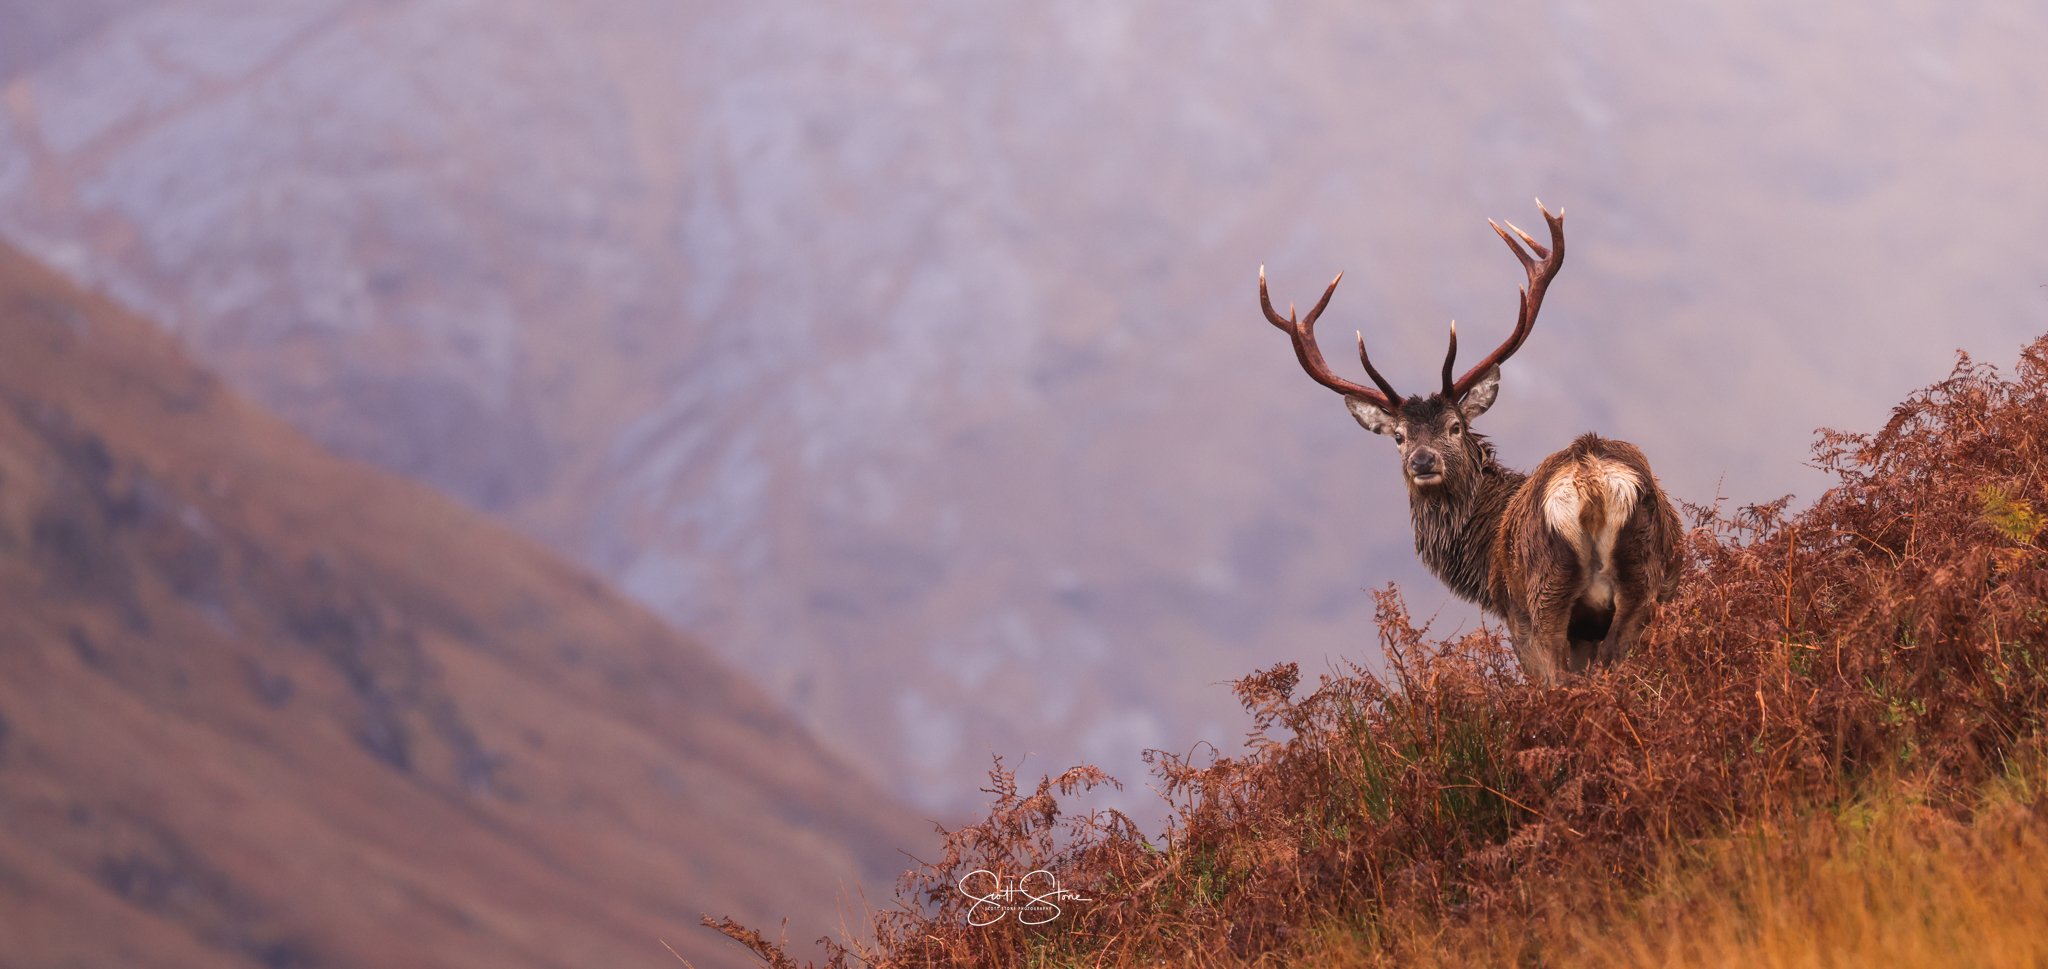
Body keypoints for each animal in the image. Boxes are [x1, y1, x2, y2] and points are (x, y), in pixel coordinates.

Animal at [1258, 202, 1681, 685]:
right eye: (1399, 437)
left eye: (1455, 426)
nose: (1423, 461)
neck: (1480, 556)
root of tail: (1590, 481)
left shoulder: (1514, 615)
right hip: (1647, 577)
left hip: (1544, 595)